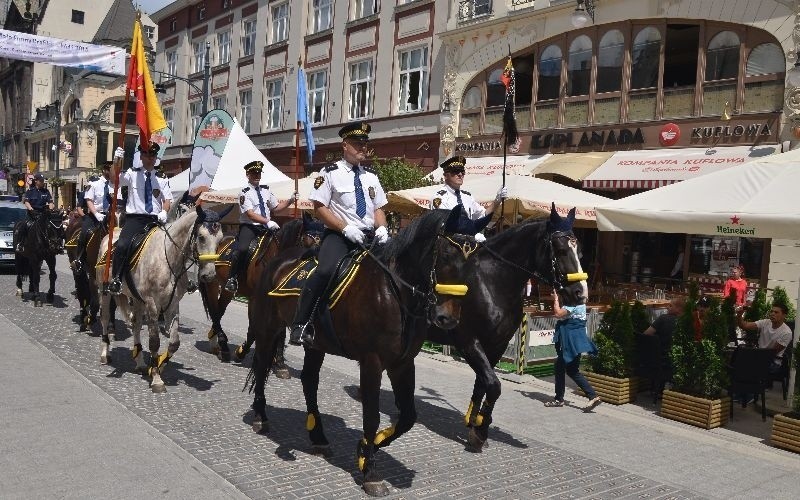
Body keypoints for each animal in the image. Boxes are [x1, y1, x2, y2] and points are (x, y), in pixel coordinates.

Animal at [98, 205, 228, 392]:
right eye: (201, 237)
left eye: (220, 239)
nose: (209, 276)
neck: (169, 258)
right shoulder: (153, 305)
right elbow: (154, 342)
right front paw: (157, 379)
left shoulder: (172, 305)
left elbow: (174, 343)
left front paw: (159, 365)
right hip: (105, 291)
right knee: (105, 318)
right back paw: (104, 354)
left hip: (137, 300)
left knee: (136, 325)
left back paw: (140, 363)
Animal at [248, 207, 476, 496]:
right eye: (446, 254)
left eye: (473, 259)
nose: (448, 318)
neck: (394, 291)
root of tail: (277, 260)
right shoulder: (372, 362)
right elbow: (372, 416)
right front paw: (371, 473)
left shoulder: (403, 363)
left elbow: (408, 418)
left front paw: (365, 451)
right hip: (267, 329)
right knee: (261, 366)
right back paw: (260, 417)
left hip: (315, 344)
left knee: (309, 381)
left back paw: (318, 437)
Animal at [428, 205, 592, 452]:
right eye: (562, 250)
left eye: (580, 251)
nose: (580, 293)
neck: (491, 283)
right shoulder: (469, 342)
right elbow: (494, 385)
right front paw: (480, 431)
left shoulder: (496, 345)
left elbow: (483, 384)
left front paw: (475, 425)